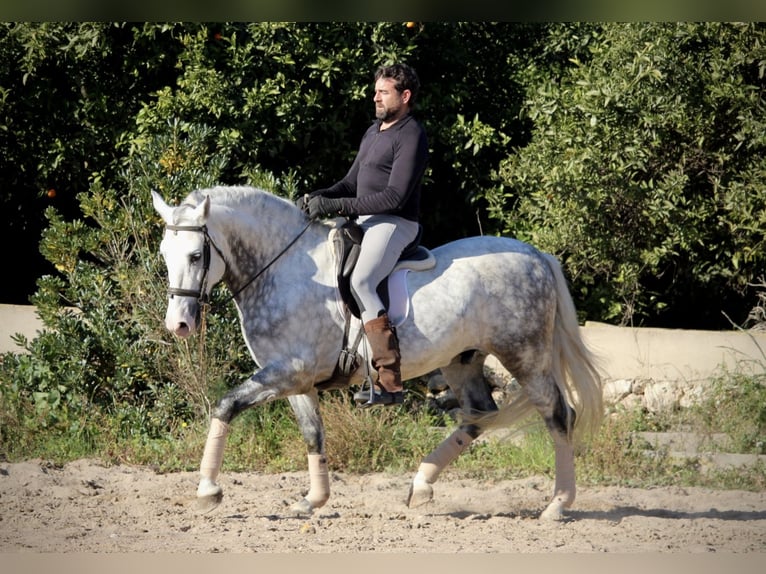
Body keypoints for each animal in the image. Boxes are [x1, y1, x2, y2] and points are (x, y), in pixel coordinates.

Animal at [152, 188, 608, 520]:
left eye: (196, 255)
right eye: (164, 255)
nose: (179, 325)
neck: (285, 270)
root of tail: (537, 256)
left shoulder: (288, 371)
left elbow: (225, 405)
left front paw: (208, 491)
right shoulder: (295, 379)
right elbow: (313, 433)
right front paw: (313, 500)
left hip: (525, 355)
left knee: (557, 414)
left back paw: (557, 505)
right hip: (461, 361)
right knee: (479, 414)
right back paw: (421, 486)